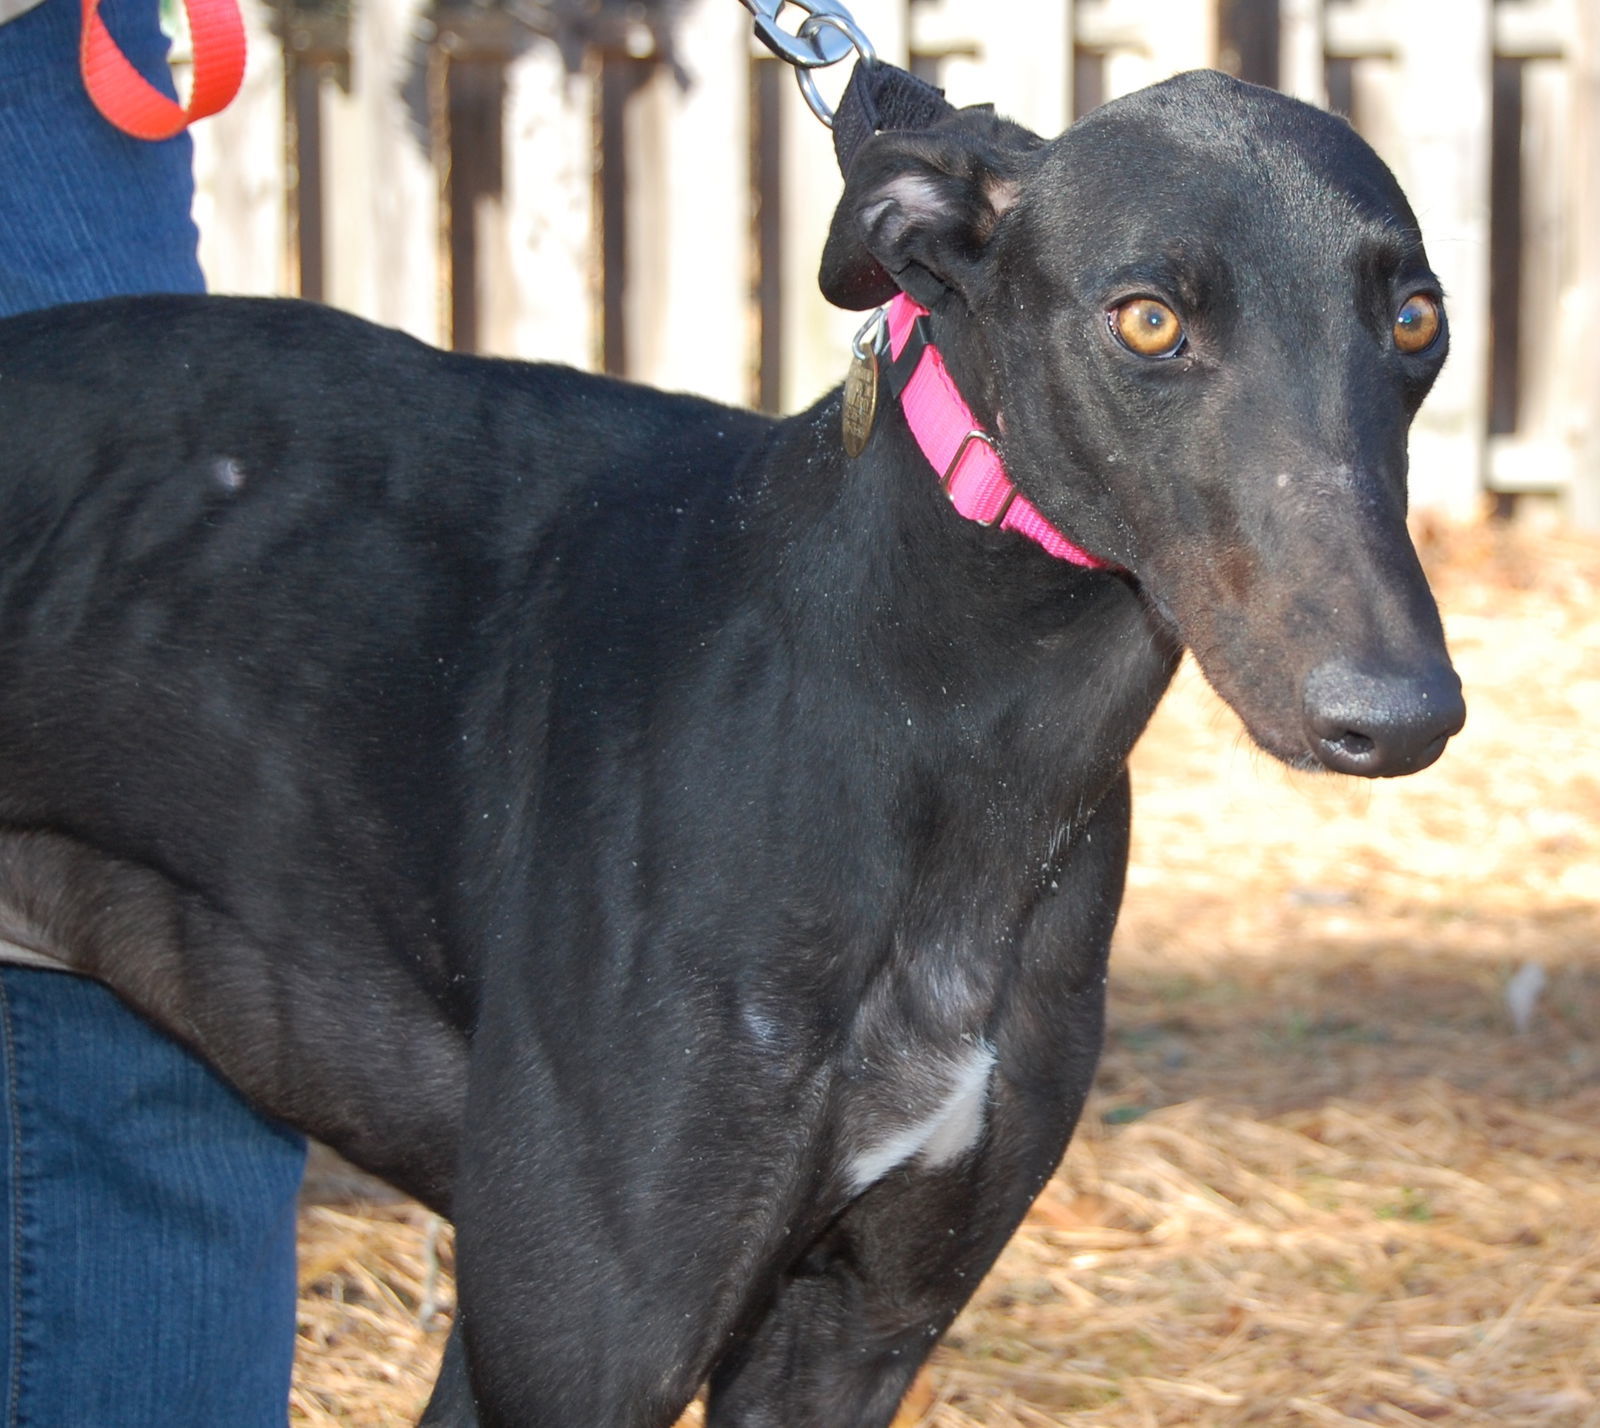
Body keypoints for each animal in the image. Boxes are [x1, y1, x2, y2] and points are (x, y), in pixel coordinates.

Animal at [0, 69, 1465, 1428]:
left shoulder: (851, 1333)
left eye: (1416, 318)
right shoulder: (565, 1350)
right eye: (1148, 318)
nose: (1400, 713)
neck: (943, 724)